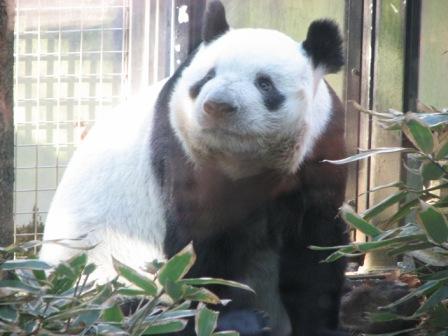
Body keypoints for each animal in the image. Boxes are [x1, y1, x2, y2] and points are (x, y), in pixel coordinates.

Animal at [40, 1, 348, 334]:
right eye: (207, 77)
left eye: (264, 83)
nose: (219, 104)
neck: (245, 162)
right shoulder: (182, 154)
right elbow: (195, 253)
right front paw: (221, 314)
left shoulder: (319, 150)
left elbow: (315, 248)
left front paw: (318, 323)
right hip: (95, 274)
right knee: (130, 308)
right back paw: (244, 321)